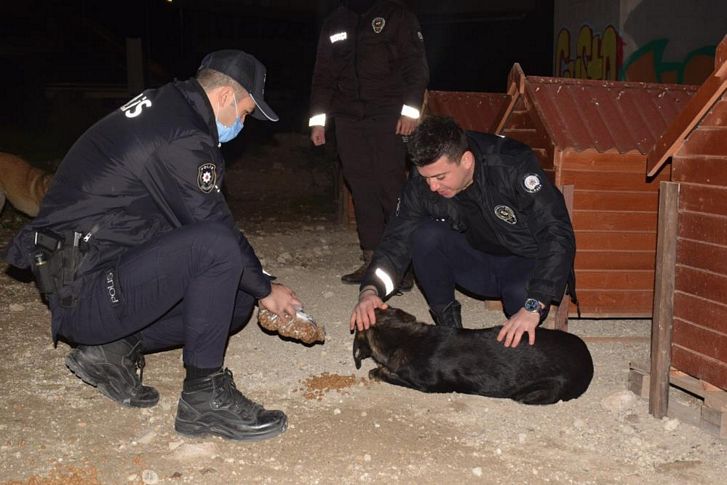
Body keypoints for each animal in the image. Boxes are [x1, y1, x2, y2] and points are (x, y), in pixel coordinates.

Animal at [354, 306, 596, 404]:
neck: (404, 338)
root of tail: (588, 359)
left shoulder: (424, 384)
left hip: (539, 392)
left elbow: (385, 373)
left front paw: (377, 371)